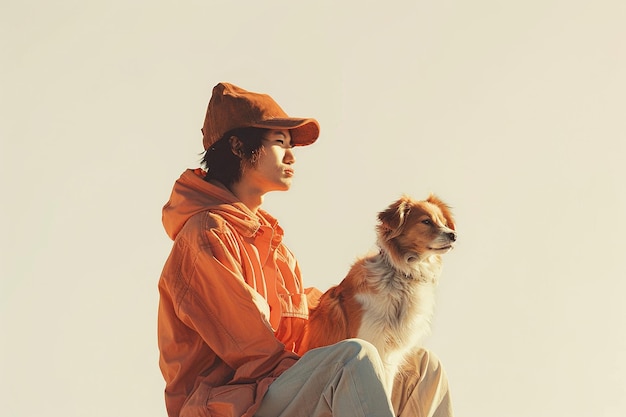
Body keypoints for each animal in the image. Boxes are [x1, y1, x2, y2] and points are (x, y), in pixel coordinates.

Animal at [298, 194, 454, 394]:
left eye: (444, 222)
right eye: (426, 221)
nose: (453, 235)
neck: (401, 276)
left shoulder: (391, 356)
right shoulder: (370, 341)